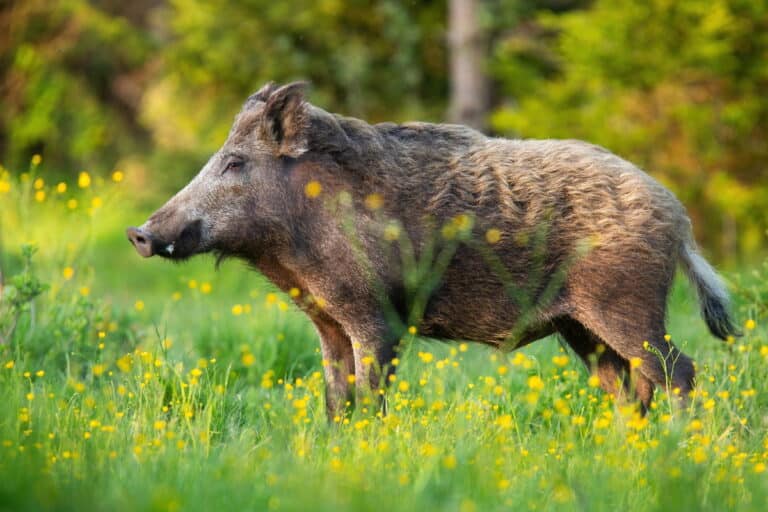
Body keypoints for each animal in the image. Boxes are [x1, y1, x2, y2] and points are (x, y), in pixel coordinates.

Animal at [127, 81, 738, 417]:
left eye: (234, 162)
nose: (139, 233)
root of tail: (676, 214)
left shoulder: (376, 316)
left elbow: (369, 396)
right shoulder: (327, 321)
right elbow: (334, 399)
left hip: (624, 304)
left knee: (680, 373)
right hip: (582, 328)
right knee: (631, 389)